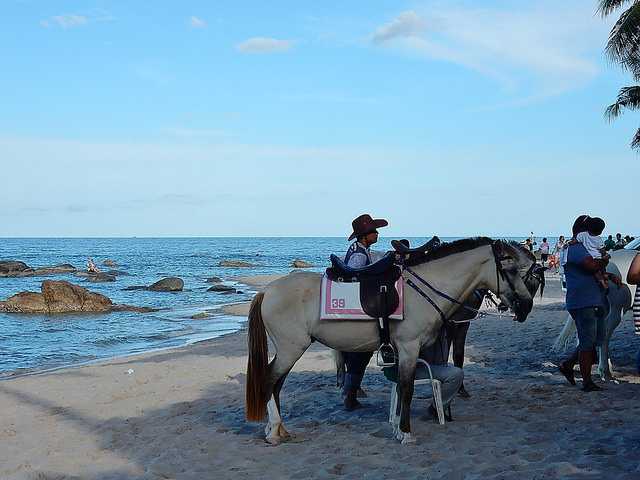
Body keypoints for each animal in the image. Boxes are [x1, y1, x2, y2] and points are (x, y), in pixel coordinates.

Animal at [244, 238, 540, 444]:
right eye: (511, 269)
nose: (526, 306)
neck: (425, 289)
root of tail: (267, 291)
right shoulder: (409, 348)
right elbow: (407, 389)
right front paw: (406, 433)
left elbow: (401, 388)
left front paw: (398, 427)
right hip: (290, 349)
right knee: (269, 381)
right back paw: (273, 433)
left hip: (290, 350)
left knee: (276, 385)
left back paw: (278, 429)